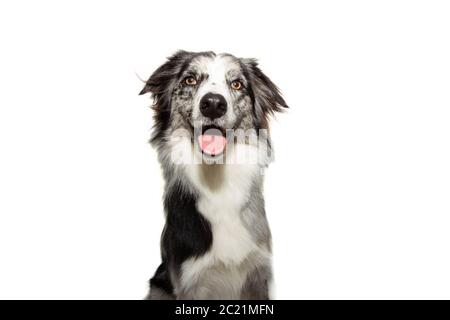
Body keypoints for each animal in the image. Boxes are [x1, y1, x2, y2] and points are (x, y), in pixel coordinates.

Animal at [141, 50, 286, 300]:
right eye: (190, 80)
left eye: (237, 84)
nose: (213, 104)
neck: (217, 177)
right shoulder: (191, 282)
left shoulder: (259, 274)